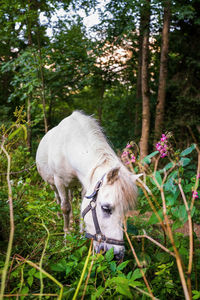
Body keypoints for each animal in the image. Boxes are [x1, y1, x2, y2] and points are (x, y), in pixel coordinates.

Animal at [36, 110, 138, 260]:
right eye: (106, 208)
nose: (117, 255)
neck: (69, 147)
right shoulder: (59, 181)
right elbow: (65, 207)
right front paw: (66, 238)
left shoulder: (86, 185)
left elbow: (80, 208)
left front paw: (79, 234)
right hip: (52, 184)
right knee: (59, 199)